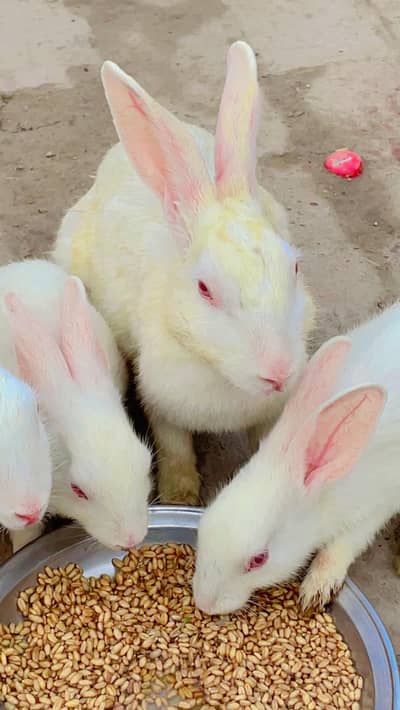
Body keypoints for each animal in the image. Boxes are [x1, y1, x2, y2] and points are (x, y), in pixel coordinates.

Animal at [52, 40, 315, 506]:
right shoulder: (162, 406)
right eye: (205, 289)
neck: (221, 374)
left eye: (295, 267)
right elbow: (175, 453)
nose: (279, 371)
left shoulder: (270, 415)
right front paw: (179, 497)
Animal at [192, 301, 400, 614]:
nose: (204, 604)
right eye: (205, 519)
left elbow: (343, 546)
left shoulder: (376, 506)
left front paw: (316, 590)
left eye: (259, 559)